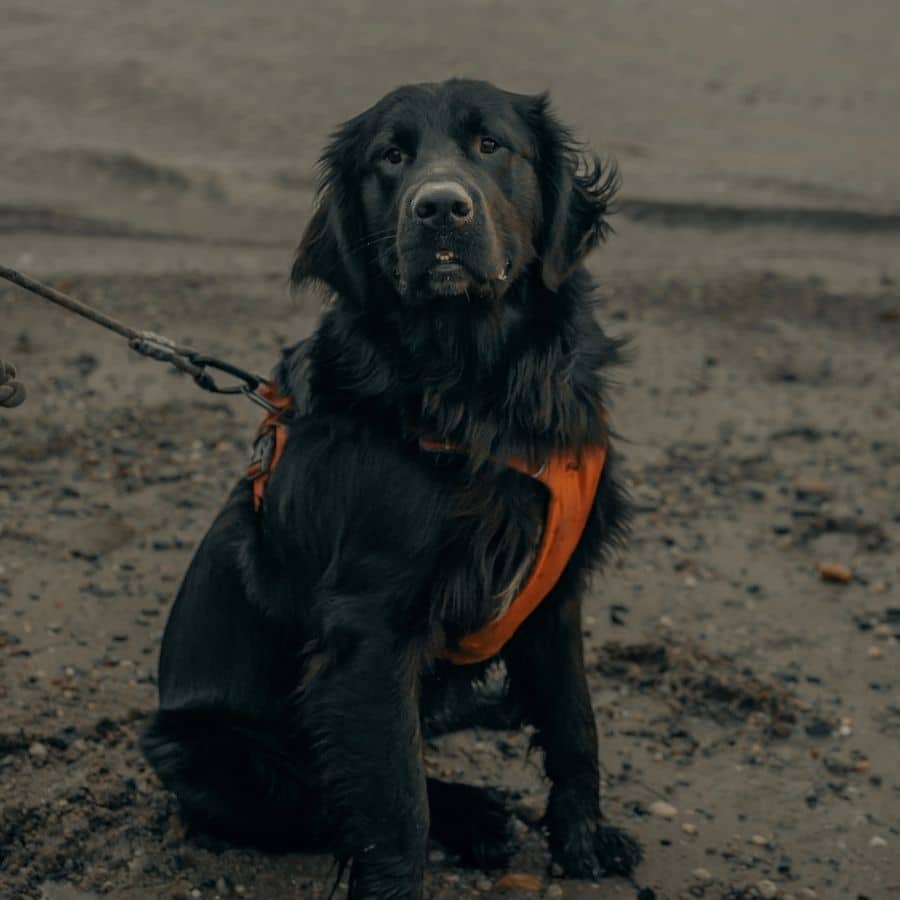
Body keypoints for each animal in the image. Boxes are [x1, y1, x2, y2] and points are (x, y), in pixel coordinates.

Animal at [142, 79, 640, 900]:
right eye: (392, 157)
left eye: (491, 145)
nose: (439, 209)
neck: (478, 389)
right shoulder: (369, 631)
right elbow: (393, 803)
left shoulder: (555, 591)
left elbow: (575, 721)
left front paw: (584, 839)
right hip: (204, 750)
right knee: (325, 791)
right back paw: (475, 815)